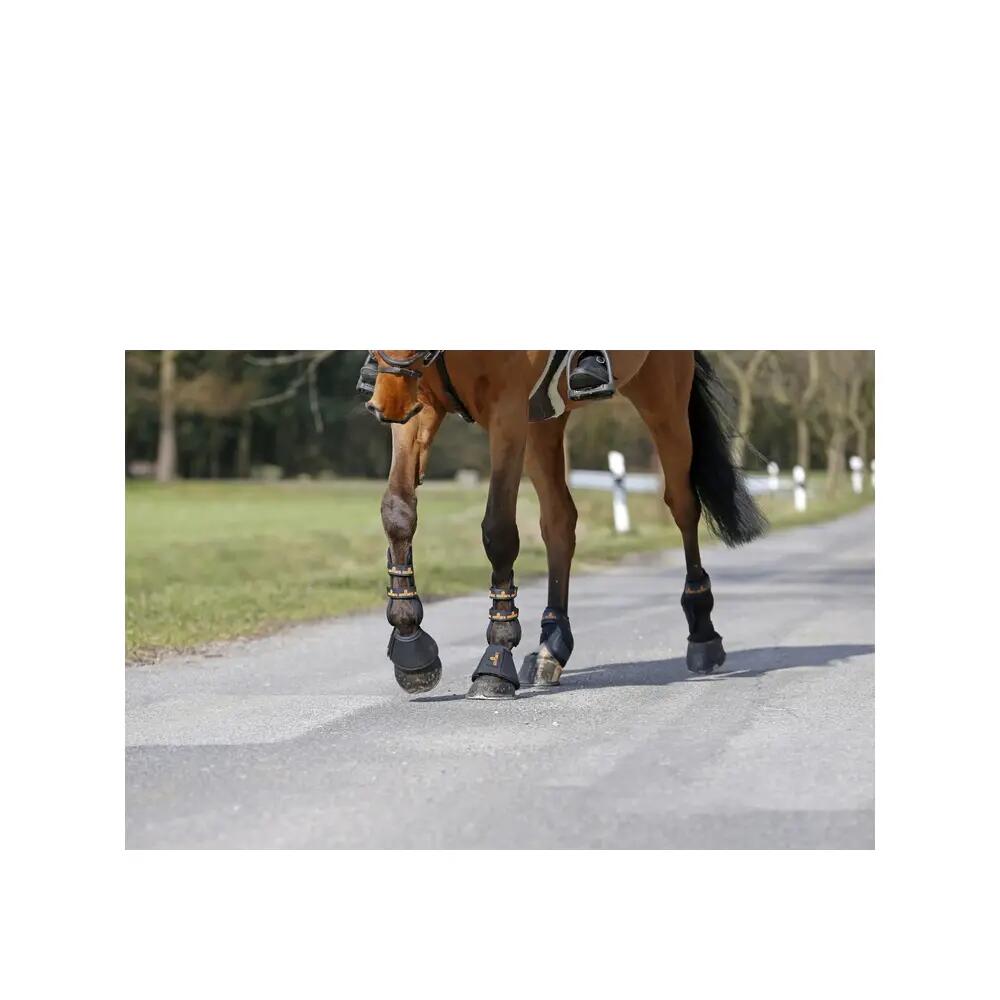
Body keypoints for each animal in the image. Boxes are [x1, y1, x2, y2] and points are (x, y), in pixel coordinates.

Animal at [363, 350, 767, 700]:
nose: (387, 404)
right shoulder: (419, 401)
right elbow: (398, 511)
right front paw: (411, 647)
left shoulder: (507, 412)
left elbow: (499, 531)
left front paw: (496, 657)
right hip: (544, 419)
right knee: (559, 519)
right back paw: (551, 646)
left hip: (663, 401)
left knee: (682, 505)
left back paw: (702, 634)